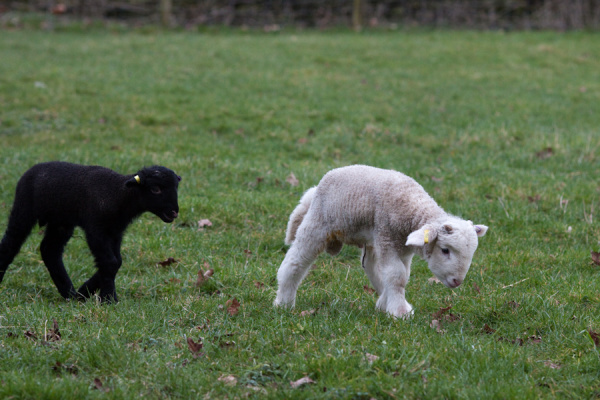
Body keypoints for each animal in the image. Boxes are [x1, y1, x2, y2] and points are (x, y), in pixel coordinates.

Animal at [0, 161, 180, 302]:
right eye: (155, 189)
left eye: (176, 188)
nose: (174, 213)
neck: (118, 195)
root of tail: (33, 168)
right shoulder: (96, 230)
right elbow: (110, 262)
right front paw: (108, 298)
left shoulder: (115, 232)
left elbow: (117, 262)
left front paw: (84, 292)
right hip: (24, 210)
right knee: (10, 244)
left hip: (61, 222)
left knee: (50, 250)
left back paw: (69, 293)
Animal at [276, 164, 488, 318]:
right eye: (445, 250)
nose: (457, 281)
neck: (412, 207)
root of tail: (316, 188)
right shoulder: (387, 238)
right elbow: (396, 275)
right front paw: (400, 312)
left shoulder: (402, 248)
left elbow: (400, 276)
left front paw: (388, 304)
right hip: (317, 225)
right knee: (295, 262)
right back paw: (284, 303)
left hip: (370, 239)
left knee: (370, 265)